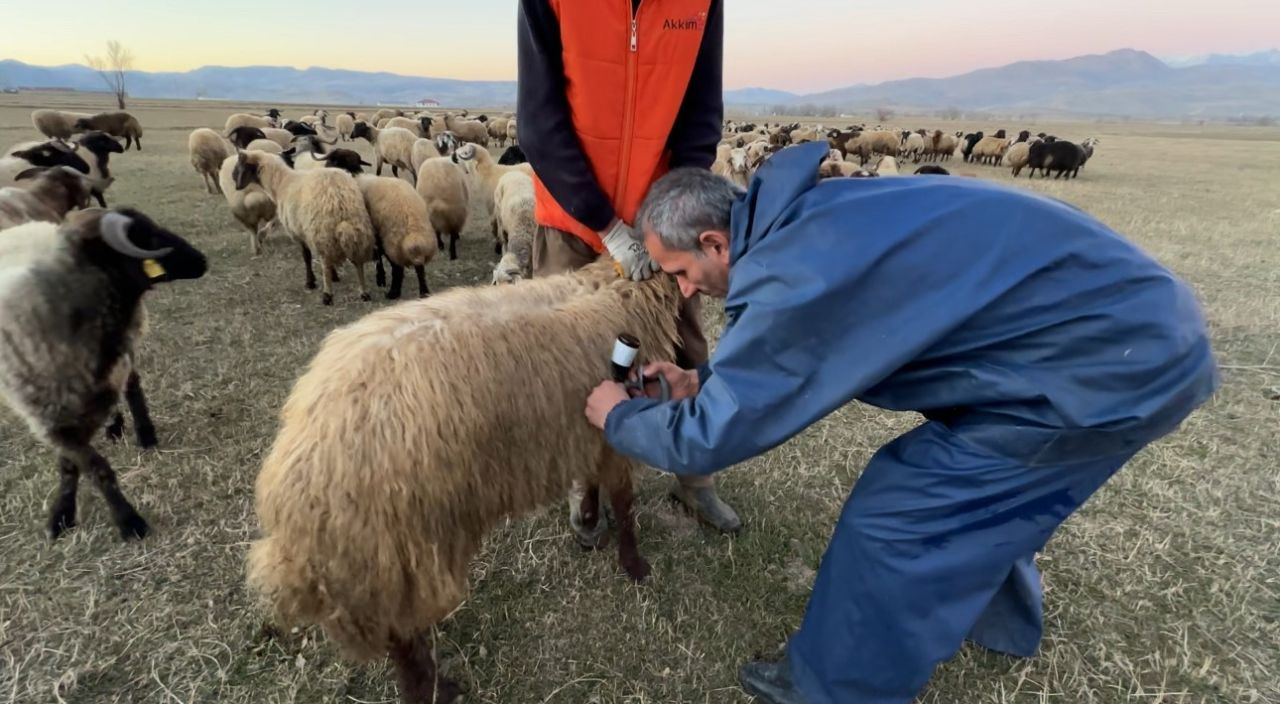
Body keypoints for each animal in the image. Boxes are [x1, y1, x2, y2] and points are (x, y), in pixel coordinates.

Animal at [0, 209, 207, 540]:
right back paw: (115, 426)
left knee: (132, 385)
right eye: (148, 236)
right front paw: (64, 516)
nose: (202, 260)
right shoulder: (52, 419)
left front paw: (127, 522)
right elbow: (88, 467)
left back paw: (143, 432)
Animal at [232, 150, 376, 304]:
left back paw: (327, 295)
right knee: (358, 261)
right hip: (357, 227)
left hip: (321, 231)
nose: (233, 180)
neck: (281, 183)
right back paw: (364, 292)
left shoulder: (299, 232)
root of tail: (340, 199)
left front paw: (310, 282)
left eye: (239, 165)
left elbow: (306, 257)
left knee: (325, 261)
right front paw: (335, 277)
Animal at [243, 259, 675, 704]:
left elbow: (591, 483)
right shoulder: (615, 429)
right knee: (401, 638)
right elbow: (624, 500)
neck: (620, 290)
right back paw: (435, 689)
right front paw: (635, 564)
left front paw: (590, 523)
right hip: (393, 546)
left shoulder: (585, 435)